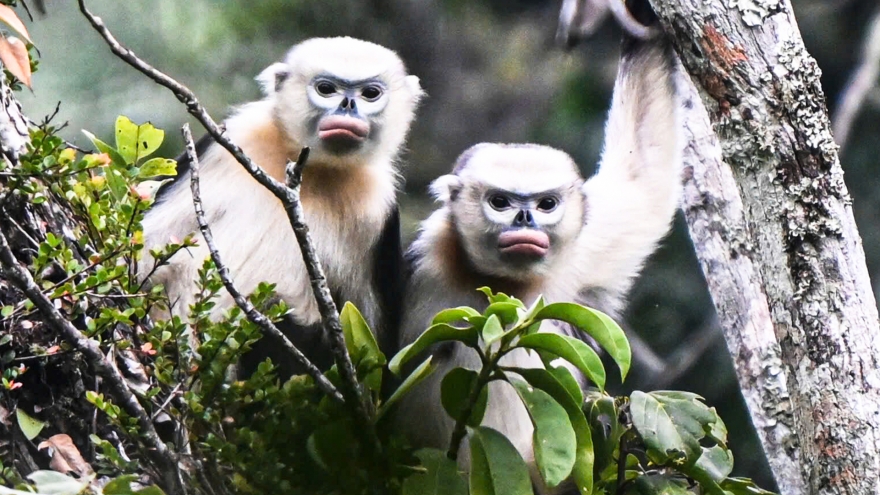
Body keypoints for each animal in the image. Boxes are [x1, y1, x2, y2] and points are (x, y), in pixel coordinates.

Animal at [139, 37, 423, 373]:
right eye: (326, 89)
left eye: (370, 94)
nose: (348, 106)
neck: (312, 171)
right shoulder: (232, 138)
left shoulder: (379, 209)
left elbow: (380, 357)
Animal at [393, 17, 682, 491]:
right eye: (500, 202)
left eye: (546, 204)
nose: (525, 220)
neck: (502, 286)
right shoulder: (420, 264)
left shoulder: (579, 254)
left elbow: (643, 180)